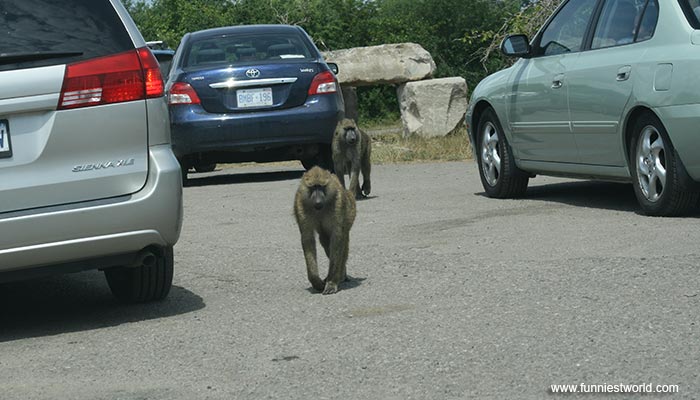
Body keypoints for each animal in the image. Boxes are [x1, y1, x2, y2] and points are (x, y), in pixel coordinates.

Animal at [293, 166, 356, 295]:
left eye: (322, 187)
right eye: (313, 187)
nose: (318, 201)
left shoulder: (338, 204)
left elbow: (337, 238)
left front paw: (332, 282)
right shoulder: (299, 205)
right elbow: (308, 239)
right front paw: (316, 282)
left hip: (350, 211)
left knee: (342, 243)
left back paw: (341, 275)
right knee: (325, 241)